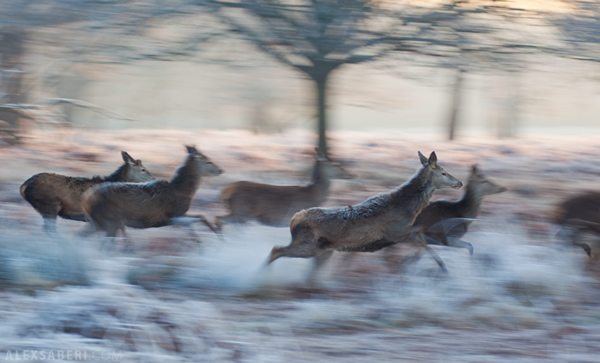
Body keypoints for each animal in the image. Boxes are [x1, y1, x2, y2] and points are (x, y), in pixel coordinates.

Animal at [83, 146, 224, 247]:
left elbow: (198, 223)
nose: (220, 170)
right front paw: (219, 239)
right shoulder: (174, 215)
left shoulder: (179, 215)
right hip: (110, 220)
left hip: (99, 222)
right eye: (208, 161)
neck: (181, 192)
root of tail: (86, 200)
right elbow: (201, 218)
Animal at [214, 149, 352, 232]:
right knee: (222, 220)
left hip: (239, 213)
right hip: (243, 212)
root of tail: (226, 191)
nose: (350, 174)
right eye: (336, 165)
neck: (313, 195)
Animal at [268, 151, 464, 278]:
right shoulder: (396, 232)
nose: (460, 182)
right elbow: (421, 238)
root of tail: (293, 220)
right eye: (444, 172)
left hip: (321, 249)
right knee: (276, 250)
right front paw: (438, 266)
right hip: (309, 245)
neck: (408, 209)